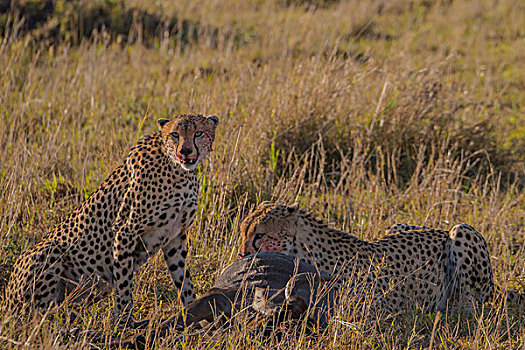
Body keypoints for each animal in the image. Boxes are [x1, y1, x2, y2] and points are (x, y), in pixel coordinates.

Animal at [4, 113, 218, 324]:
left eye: (198, 133)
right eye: (175, 134)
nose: (185, 151)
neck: (178, 169)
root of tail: (6, 302)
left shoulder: (175, 237)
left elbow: (184, 280)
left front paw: (192, 313)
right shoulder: (125, 231)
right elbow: (124, 284)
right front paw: (123, 324)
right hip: (49, 250)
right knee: (37, 315)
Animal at [238, 201, 524, 314]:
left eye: (259, 235)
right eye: (242, 231)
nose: (241, 254)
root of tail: (440, 229)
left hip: (461, 231)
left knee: (472, 307)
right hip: (397, 225)